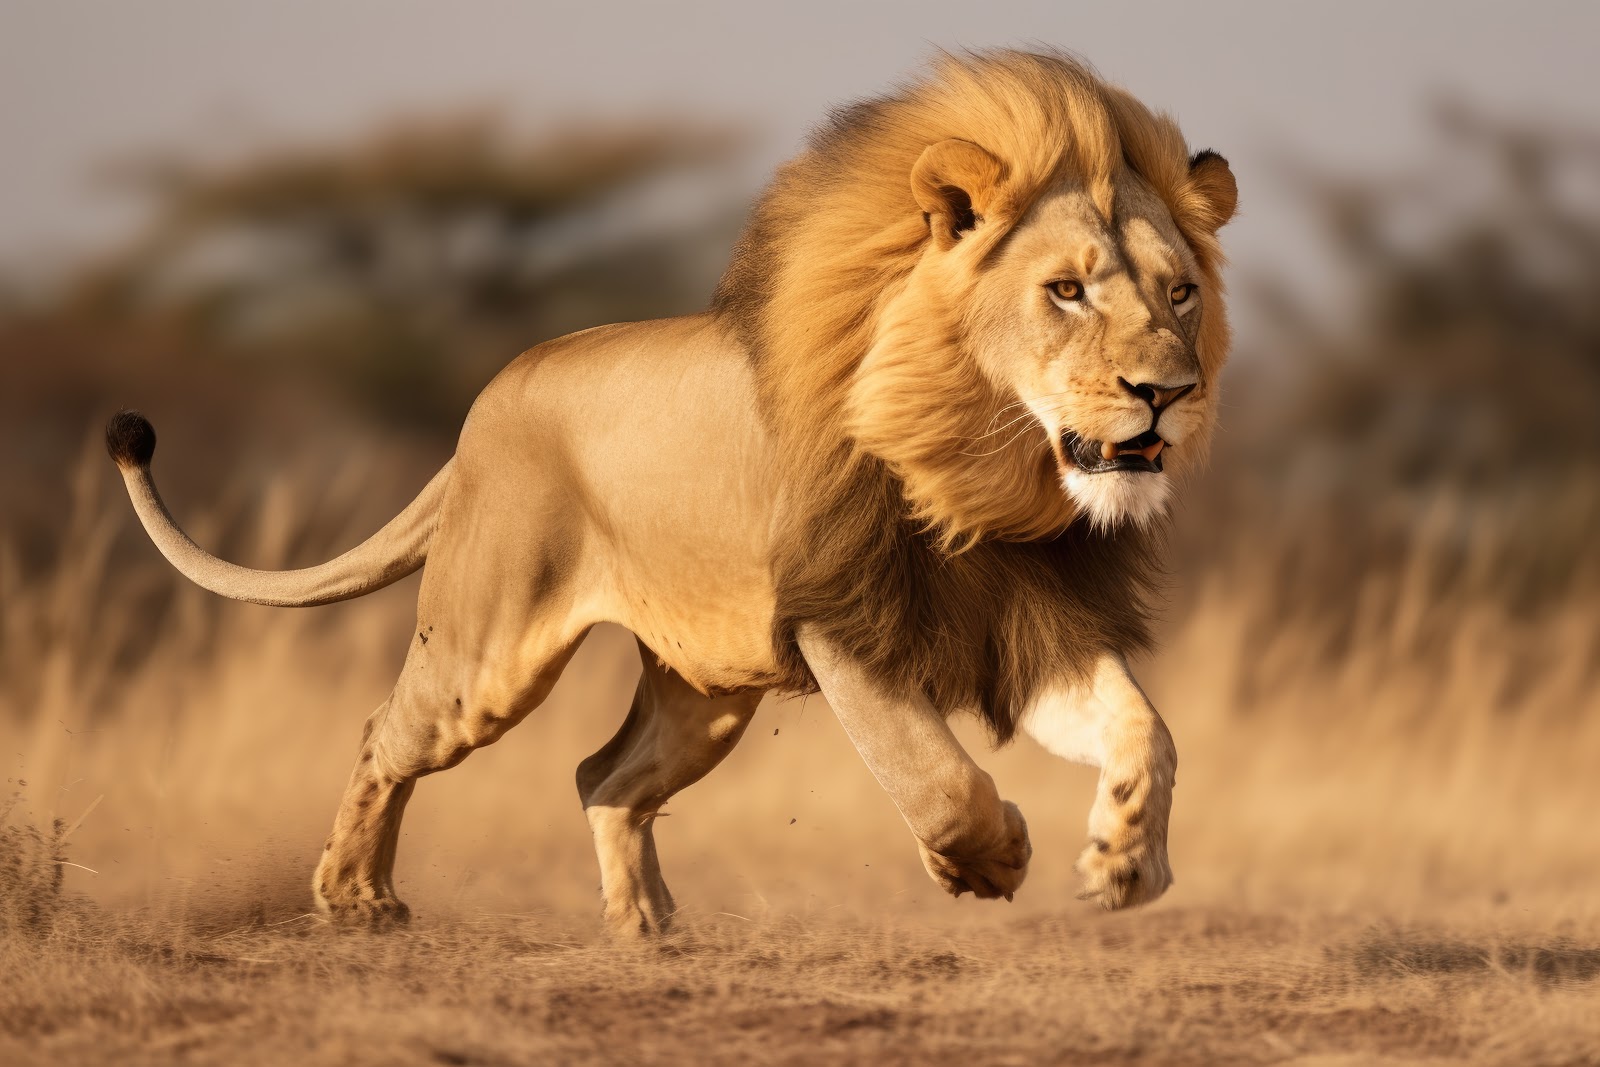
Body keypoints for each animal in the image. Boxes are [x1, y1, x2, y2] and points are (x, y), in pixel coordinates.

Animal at [106, 49, 1237, 936]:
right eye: (1065, 290)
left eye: (1181, 293)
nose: (1168, 394)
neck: (989, 473)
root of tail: (489, 401)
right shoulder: (843, 620)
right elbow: (936, 774)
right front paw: (986, 859)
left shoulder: (1035, 623)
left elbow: (1147, 728)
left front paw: (1126, 857)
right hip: (488, 655)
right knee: (386, 732)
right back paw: (357, 896)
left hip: (707, 684)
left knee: (601, 775)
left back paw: (645, 922)